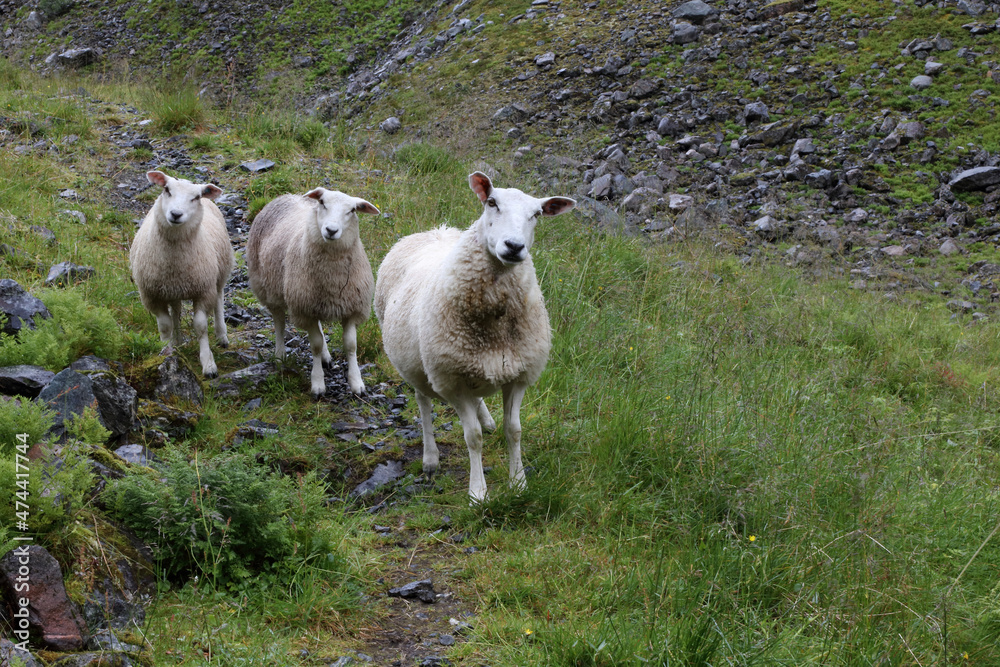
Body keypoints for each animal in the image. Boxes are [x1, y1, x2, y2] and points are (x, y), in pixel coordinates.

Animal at [130, 170, 235, 378]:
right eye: (167, 190)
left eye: (196, 197)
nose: (176, 214)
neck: (174, 261)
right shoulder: (151, 295)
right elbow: (165, 325)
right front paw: (166, 353)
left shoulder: (204, 291)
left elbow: (200, 326)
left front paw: (208, 364)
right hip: (172, 290)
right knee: (176, 311)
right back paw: (177, 341)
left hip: (219, 273)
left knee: (219, 300)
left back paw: (222, 335)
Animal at [246, 188, 380, 399]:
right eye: (323, 203)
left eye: (351, 210)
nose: (331, 230)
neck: (332, 278)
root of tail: (285, 195)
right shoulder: (304, 310)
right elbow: (314, 344)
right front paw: (318, 384)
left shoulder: (351, 307)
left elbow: (351, 345)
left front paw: (356, 382)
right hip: (269, 289)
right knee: (279, 322)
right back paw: (280, 354)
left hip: (313, 300)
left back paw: (326, 356)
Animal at [374, 172, 576, 502]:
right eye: (492, 202)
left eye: (537, 214)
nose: (514, 246)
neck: (494, 325)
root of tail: (435, 231)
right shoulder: (452, 381)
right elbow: (473, 438)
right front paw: (478, 493)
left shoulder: (517, 374)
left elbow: (514, 430)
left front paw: (518, 483)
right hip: (417, 364)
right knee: (422, 402)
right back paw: (430, 458)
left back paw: (486, 418)